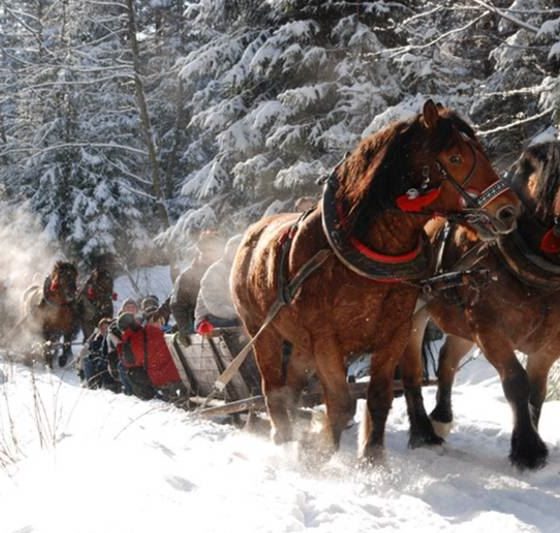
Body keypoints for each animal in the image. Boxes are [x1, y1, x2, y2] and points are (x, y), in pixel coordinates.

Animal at [231, 101, 520, 462]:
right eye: (455, 157)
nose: (509, 211)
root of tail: (250, 235)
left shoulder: (394, 332)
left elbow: (379, 398)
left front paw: (372, 460)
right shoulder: (326, 340)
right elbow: (341, 403)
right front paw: (318, 456)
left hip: (299, 342)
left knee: (293, 387)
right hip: (262, 331)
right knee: (272, 390)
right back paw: (283, 440)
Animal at [402, 141, 560, 470]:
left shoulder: (549, 346)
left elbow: (537, 393)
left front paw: (531, 442)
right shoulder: (490, 332)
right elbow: (517, 383)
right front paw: (527, 451)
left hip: (461, 324)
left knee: (447, 360)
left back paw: (441, 418)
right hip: (414, 316)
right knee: (411, 371)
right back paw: (423, 434)